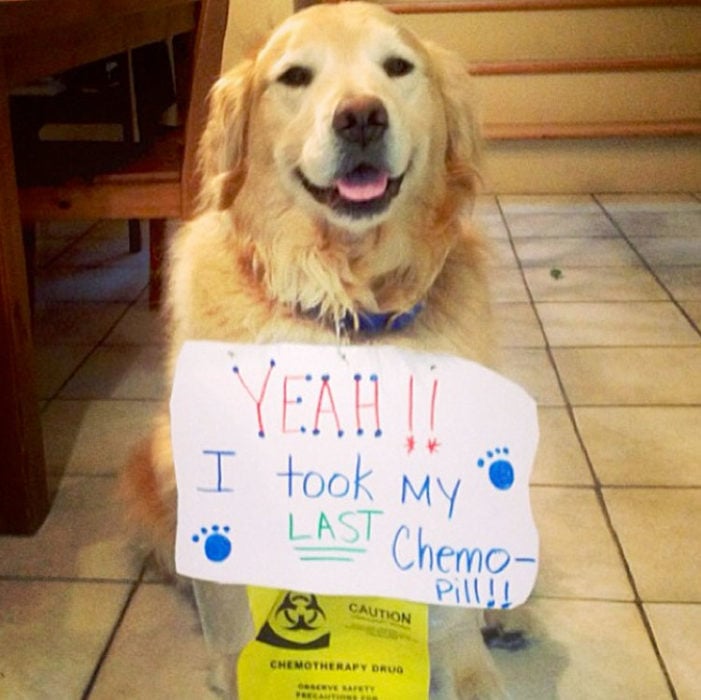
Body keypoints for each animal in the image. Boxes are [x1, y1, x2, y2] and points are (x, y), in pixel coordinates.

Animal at [123, 2, 516, 696]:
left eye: (398, 66)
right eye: (295, 76)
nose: (361, 117)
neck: (346, 300)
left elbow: (447, 609)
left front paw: (473, 672)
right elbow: (229, 603)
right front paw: (239, 668)